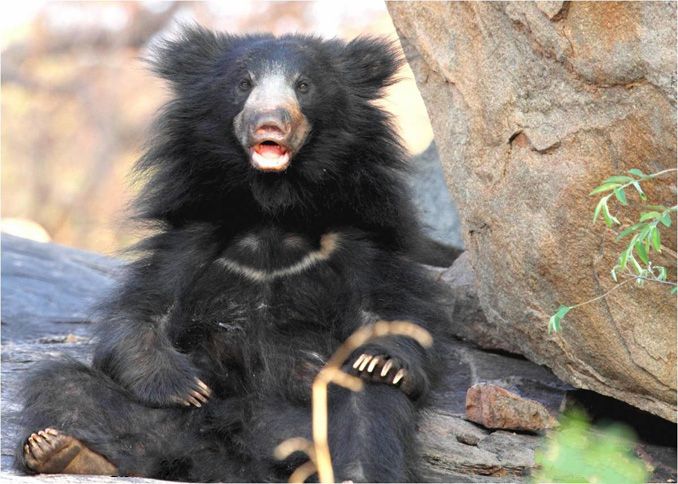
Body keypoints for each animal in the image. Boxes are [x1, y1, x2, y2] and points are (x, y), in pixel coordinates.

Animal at [17, 28, 456, 482]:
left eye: (303, 85)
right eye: (244, 84)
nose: (270, 122)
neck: (272, 211)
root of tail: (235, 464)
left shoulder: (355, 241)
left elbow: (389, 311)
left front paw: (383, 361)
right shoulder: (192, 240)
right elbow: (141, 314)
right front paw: (185, 386)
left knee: (371, 408)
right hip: (178, 429)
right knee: (64, 385)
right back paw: (63, 451)